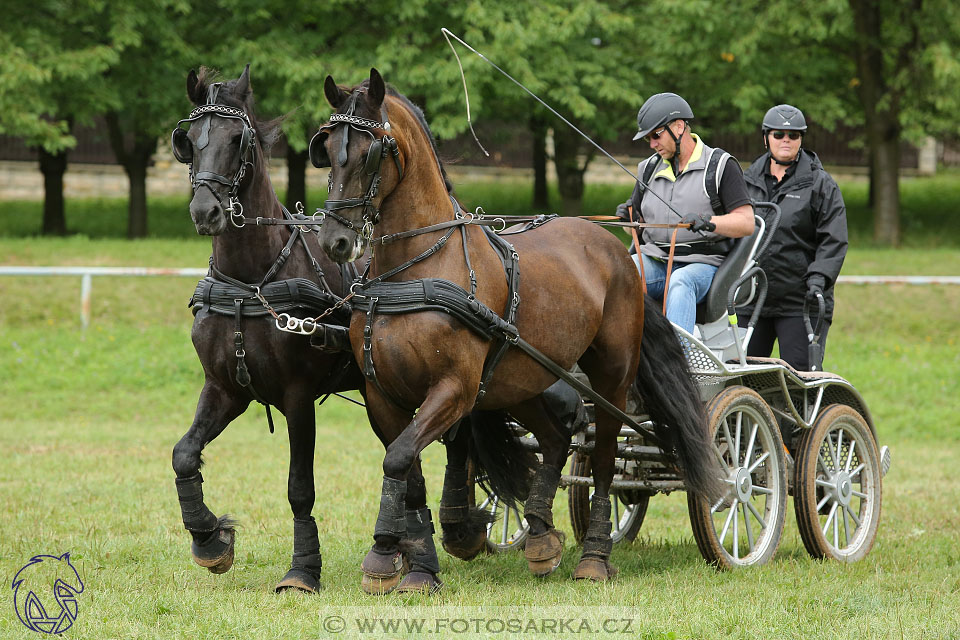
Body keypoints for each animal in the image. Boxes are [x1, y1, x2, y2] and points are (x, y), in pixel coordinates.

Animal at [314, 69, 720, 584]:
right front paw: (402, 556)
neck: (416, 270)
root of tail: (616, 249)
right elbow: (406, 471)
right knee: (556, 439)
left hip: (610, 376)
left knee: (604, 458)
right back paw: (542, 533)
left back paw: (595, 555)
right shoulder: (382, 394)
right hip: (519, 380)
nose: (334, 241)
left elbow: (400, 457)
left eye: (370, 152)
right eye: (326, 148)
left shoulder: (455, 389)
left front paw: (400, 558)